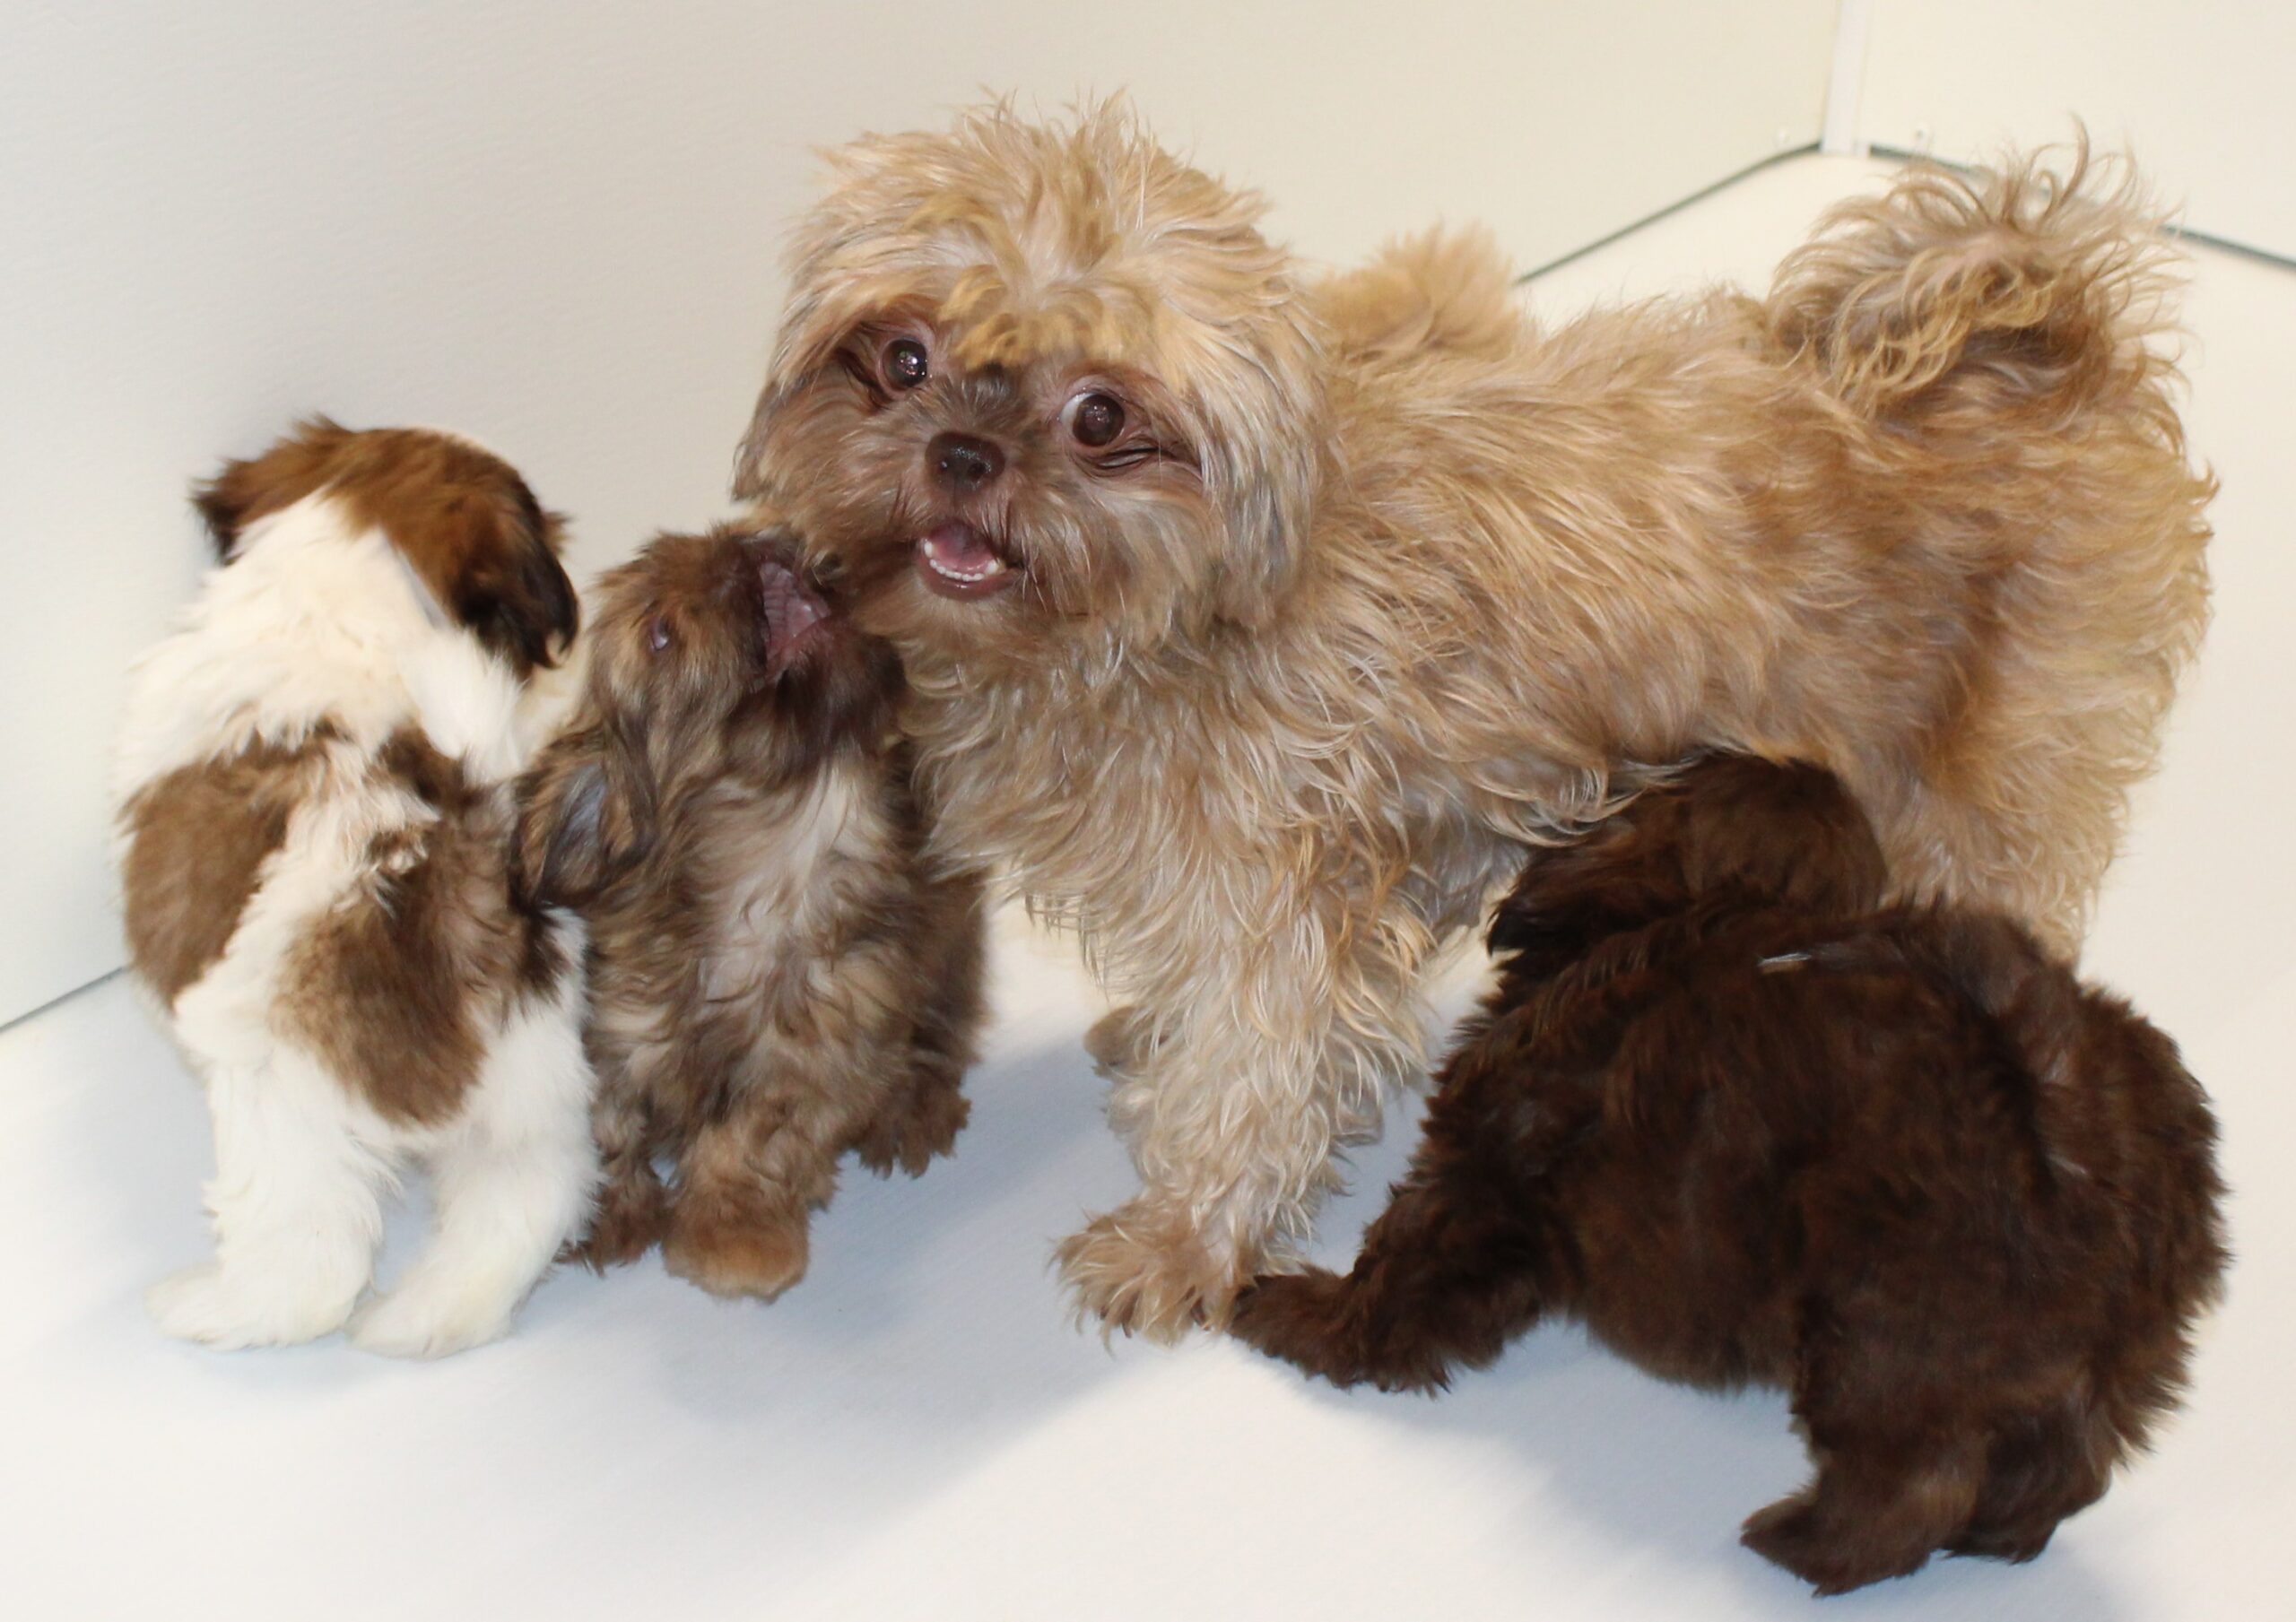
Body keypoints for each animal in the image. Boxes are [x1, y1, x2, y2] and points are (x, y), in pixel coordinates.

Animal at [116, 420, 596, 1357]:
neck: (350, 590)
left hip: (278, 1081)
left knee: (309, 1255)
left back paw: (217, 1307)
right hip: (538, 1065)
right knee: (526, 1192)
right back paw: (423, 1320)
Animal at [517, 527, 982, 1303]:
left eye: (719, 543)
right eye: (661, 633)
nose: (747, 543)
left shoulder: (817, 1049)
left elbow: (750, 1139)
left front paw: (733, 1237)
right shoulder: (612, 1030)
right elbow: (610, 1129)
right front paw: (602, 1213)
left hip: (951, 949)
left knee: (944, 1029)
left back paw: (914, 1106)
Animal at [730, 105, 2204, 1349]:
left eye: (1100, 416)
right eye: (903, 359)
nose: (964, 450)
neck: (1180, 616)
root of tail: (2041, 331)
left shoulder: (1282, 913)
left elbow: (1248, 1080)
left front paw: (1182, 1242)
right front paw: (1152, 1043)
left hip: (1980, 792)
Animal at [1239, 761, 2222, 1596]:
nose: (1592, 778)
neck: (1690, 914)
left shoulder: (1478, 1175)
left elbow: (1395, 1278)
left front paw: (1285, 1309)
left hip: (1889, 1340)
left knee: (1912, 1483)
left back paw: (1804, 1546)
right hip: (2108, 1374)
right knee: (2068, 1464)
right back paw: (1998, 1536)